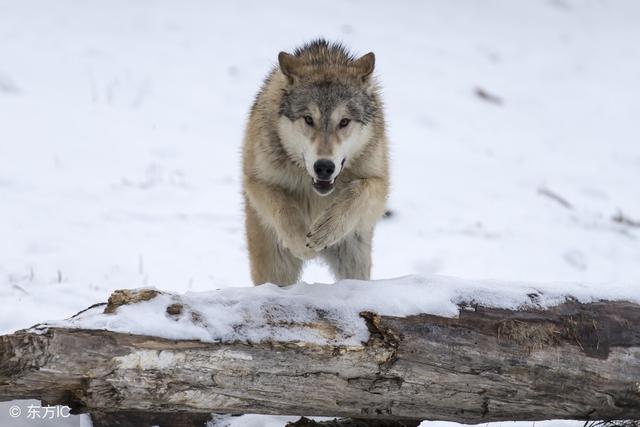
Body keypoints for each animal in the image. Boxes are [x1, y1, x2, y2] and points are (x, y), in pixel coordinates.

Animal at [241, 40, 388, 288]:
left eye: (344, 122)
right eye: (309, 119)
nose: (324, 167)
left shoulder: (379, 184)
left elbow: (359, 191)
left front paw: (325, 229)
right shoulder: (257, 181)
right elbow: (283, 207)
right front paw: (301, 243)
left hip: (355, 260)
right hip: (275, 267)